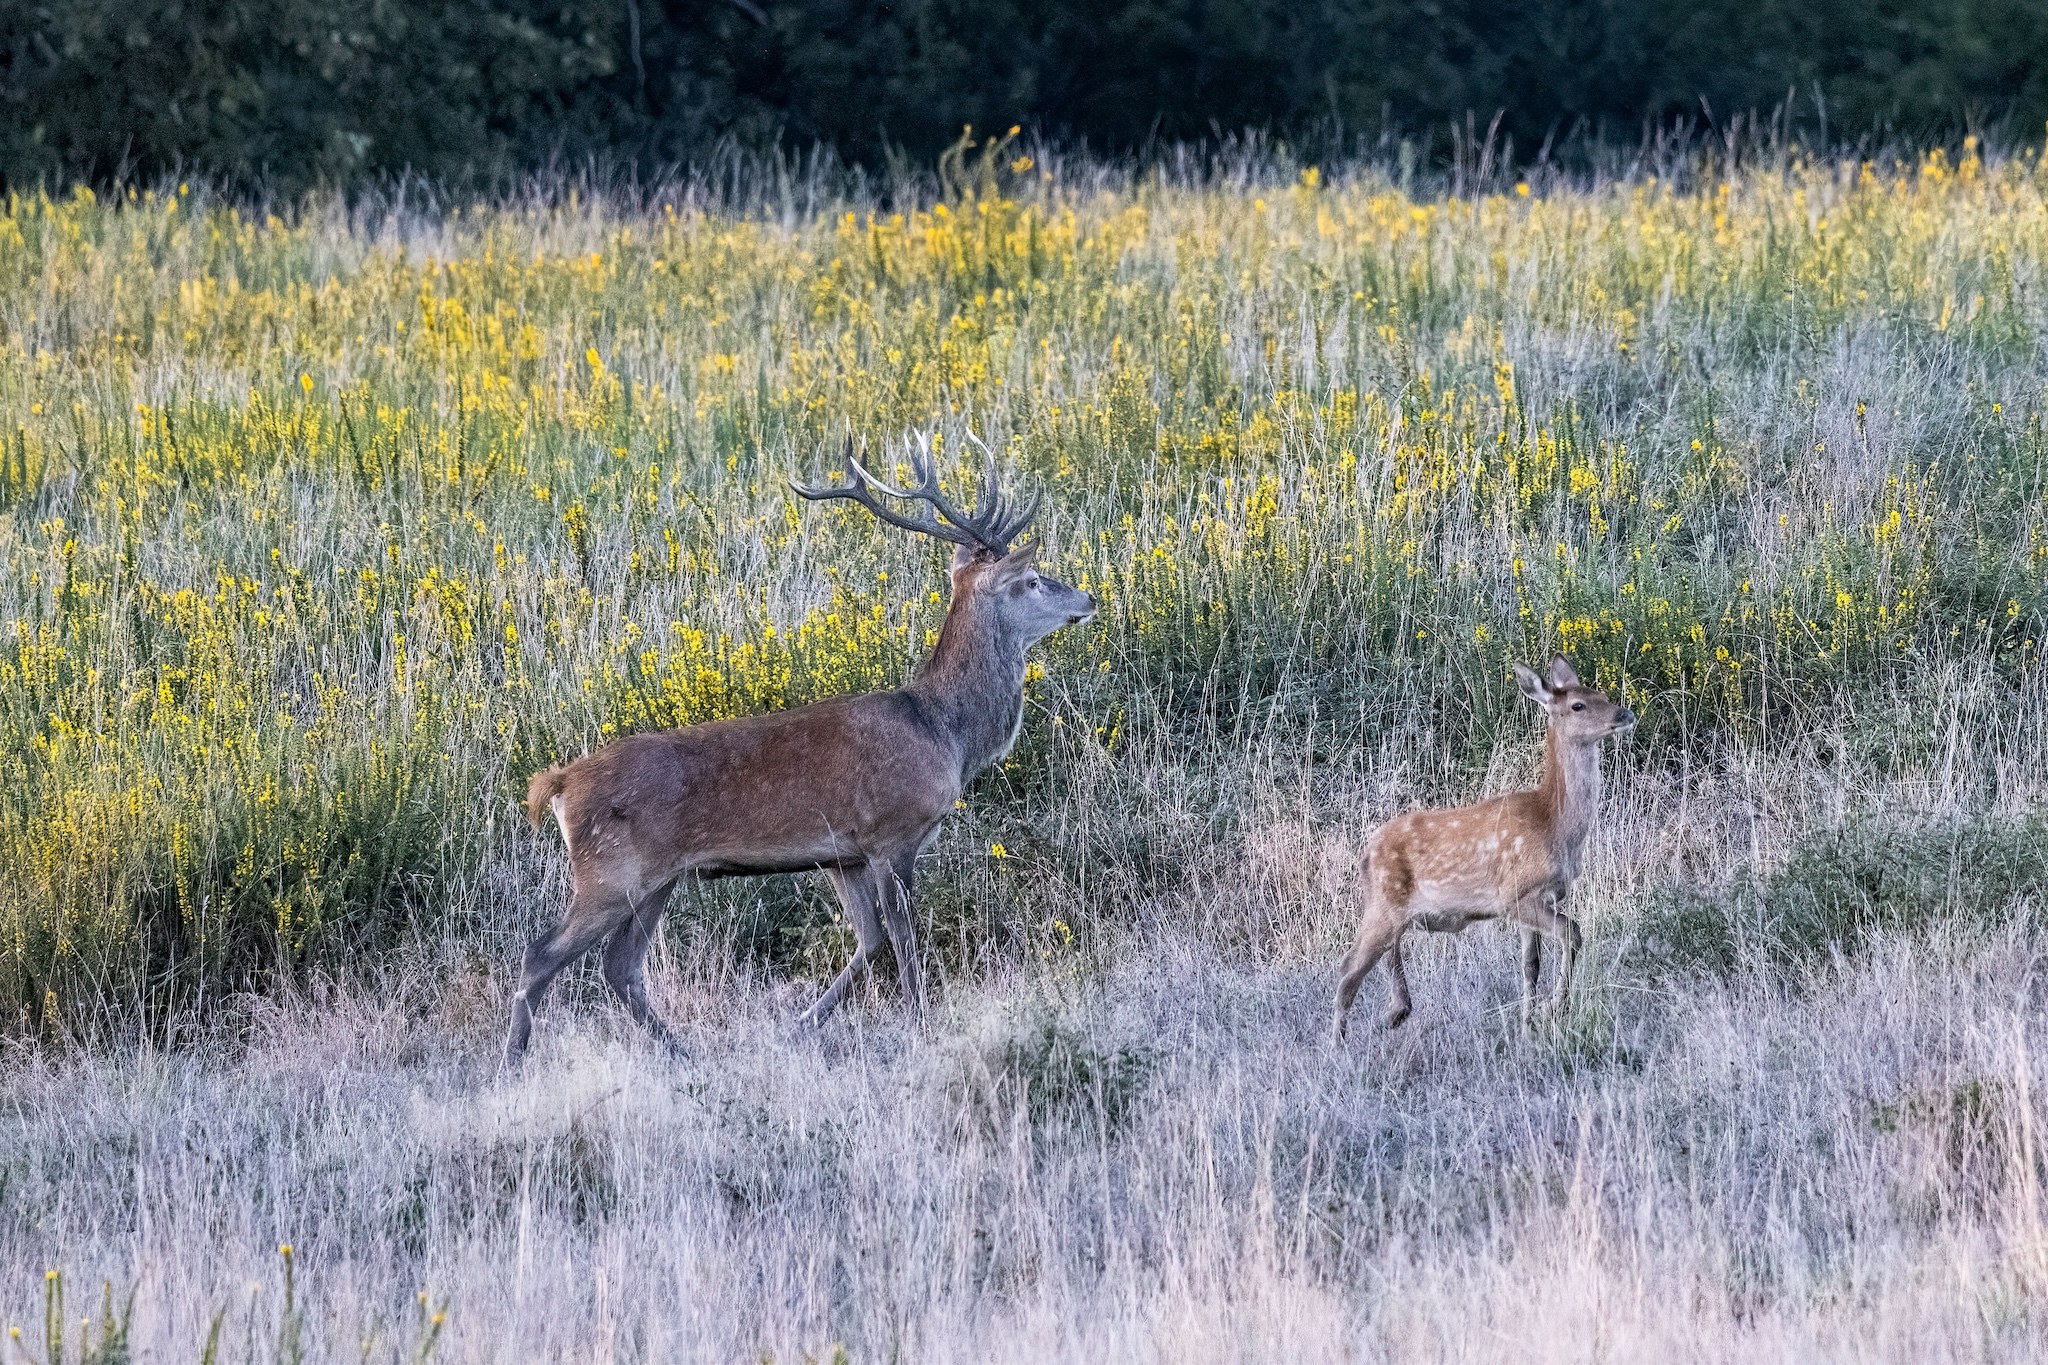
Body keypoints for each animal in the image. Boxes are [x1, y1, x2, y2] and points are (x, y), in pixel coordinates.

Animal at [506, 439, 1097, 1064]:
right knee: (541, 955)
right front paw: (919, 1019)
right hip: (607, 872)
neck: (945, 734)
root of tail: (558, 785)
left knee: (619, 967)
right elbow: (903, 934)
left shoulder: (843, 854)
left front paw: (802, 1020)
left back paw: (684, 1052)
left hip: (654, 880)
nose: (1088, 597)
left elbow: (870, 939)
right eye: (1031, 580)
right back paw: (514, 1061)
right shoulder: (892, 832)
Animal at [1330, 656, 1635, 1041]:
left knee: (1377, 958)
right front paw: (1553, 1008)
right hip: (1383, 905)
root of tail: (1366, 855)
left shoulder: (1540, 899)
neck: (1554, 823)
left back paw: (1395, 1011)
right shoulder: (1516, 893)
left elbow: (1530, 966)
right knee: (1348, 970)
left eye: (1602, 694)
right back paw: (1340, 1044)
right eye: (1578, 705)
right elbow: (1573, 933)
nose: (1625, 713)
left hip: (1392, 913)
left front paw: (1528, 1028)